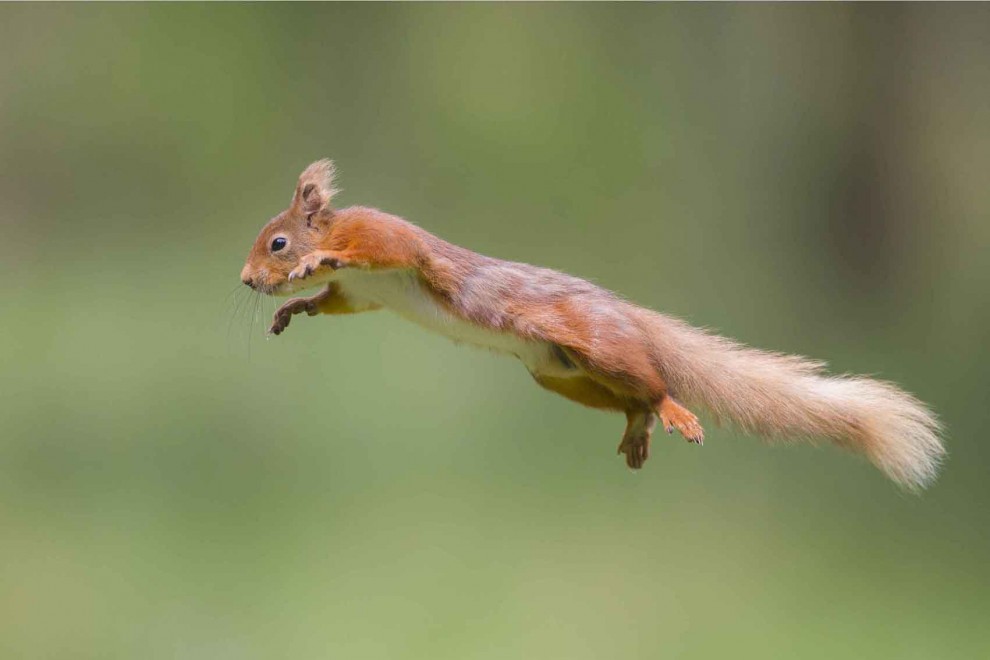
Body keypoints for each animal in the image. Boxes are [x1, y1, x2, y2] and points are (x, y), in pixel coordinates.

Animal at [240, 159, 945, 490]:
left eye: (277, 243)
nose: (246, 281)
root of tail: (626, 316)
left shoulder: (385, 240)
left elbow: (372, 252)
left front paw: (319, 260)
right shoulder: (359, 299)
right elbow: (333, 302)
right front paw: (290, 309)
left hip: (597, 347)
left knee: (656, 383)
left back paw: (675, 411)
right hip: (563, 376)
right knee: (633, 399)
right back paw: (638, 428)